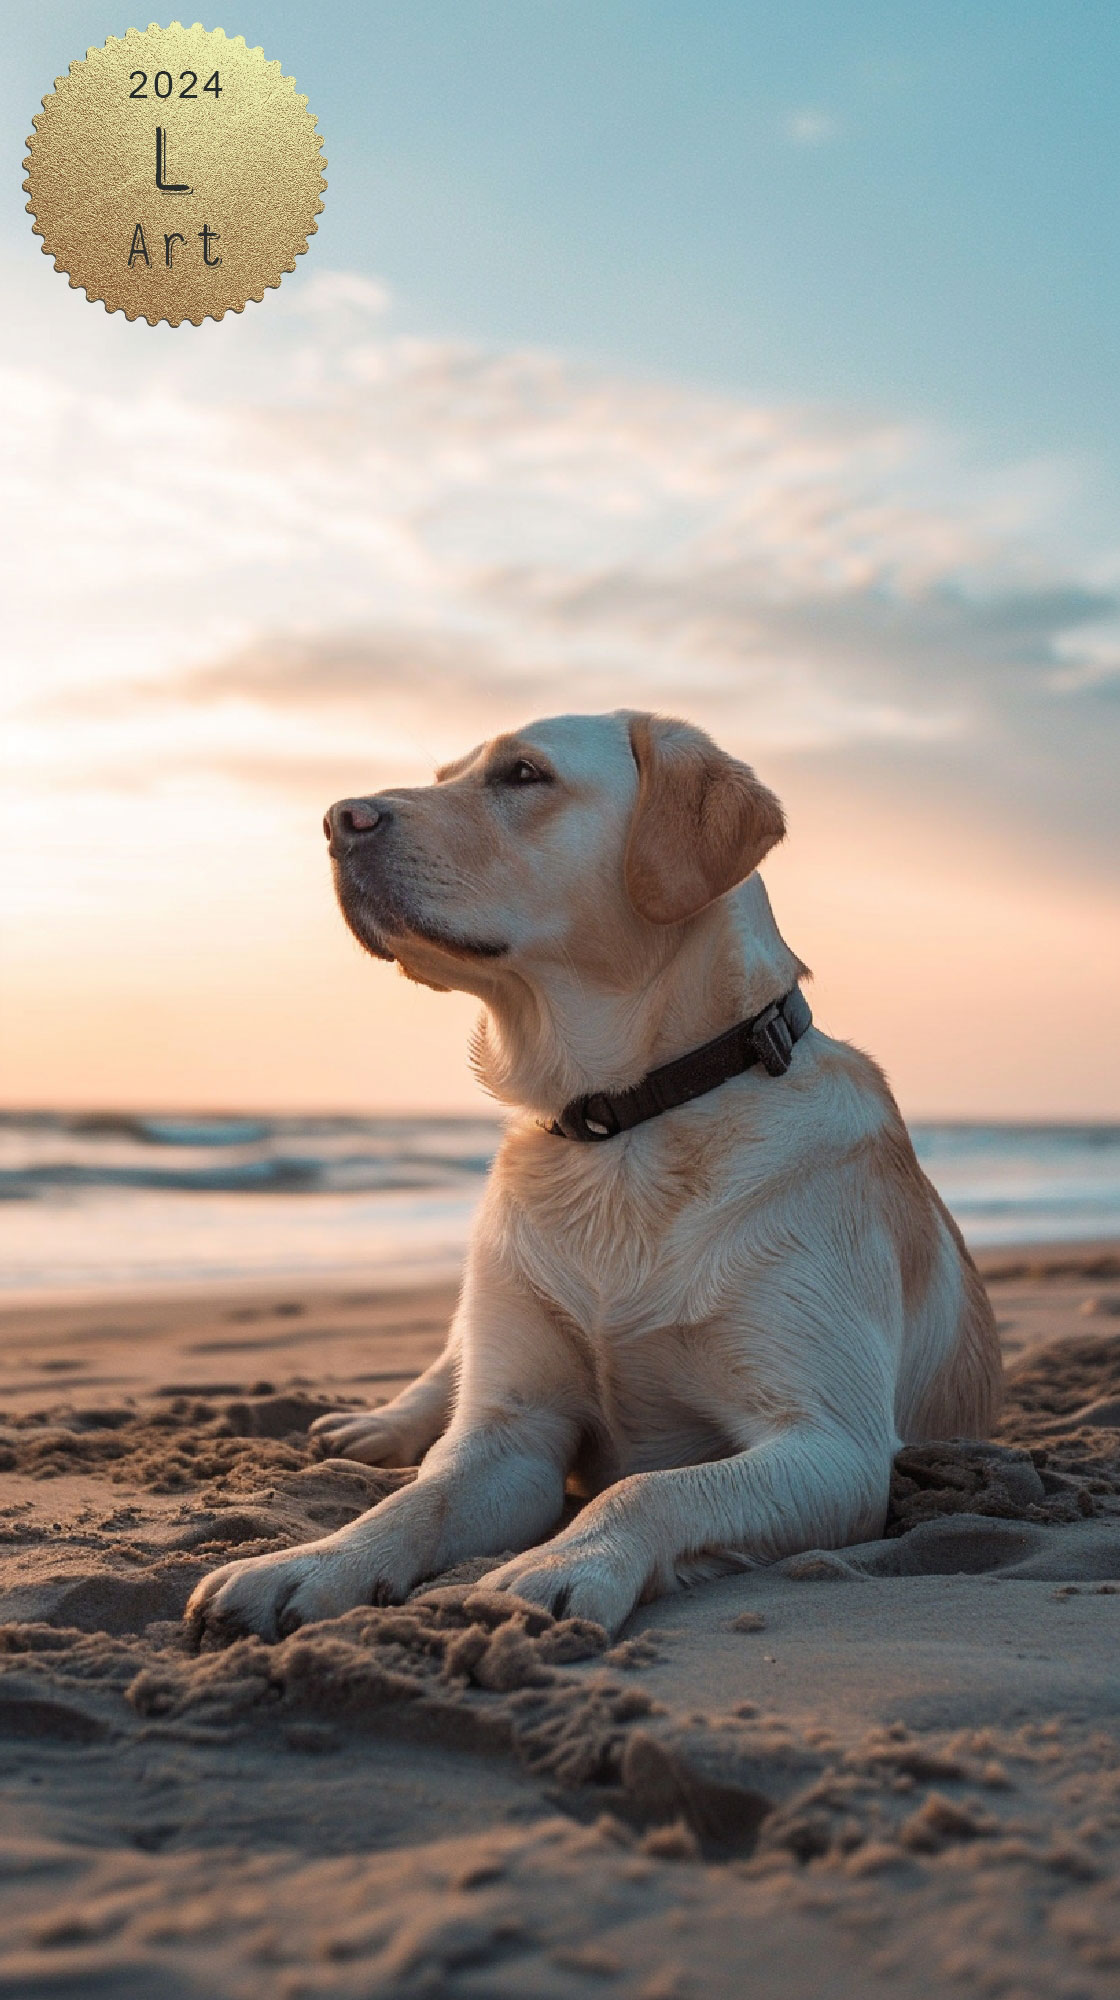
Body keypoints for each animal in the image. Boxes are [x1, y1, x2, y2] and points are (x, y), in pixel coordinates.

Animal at [188, 716, 1000, 1640]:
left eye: (523, 774)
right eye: (446, 775)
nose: (336, 819)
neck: (623, 1125)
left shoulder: (833, 1443)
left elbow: (646, 1488)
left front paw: (563, 1564)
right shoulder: (514, 1431)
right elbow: (418, 1499)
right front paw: (309, 1564)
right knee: (446, 1373)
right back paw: (372, 1428)